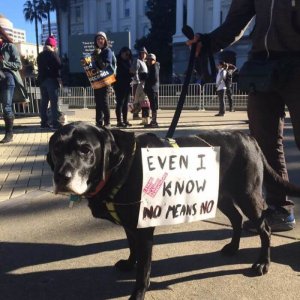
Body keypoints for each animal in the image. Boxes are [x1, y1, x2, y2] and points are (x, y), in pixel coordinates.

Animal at [47, 122, 300, 300]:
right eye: (57, 149)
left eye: (85, 150)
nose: (61, 177)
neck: (120, 166)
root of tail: (247, 136)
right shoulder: (131, 224)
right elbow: (131, 247)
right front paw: (129, 263)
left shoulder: (144, 229)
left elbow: (144, 271)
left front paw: (138, 293)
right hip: (219, 197)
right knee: (237, 219)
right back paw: (233, 247)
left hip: (248, 196)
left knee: (265, 229)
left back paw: (262, 263)